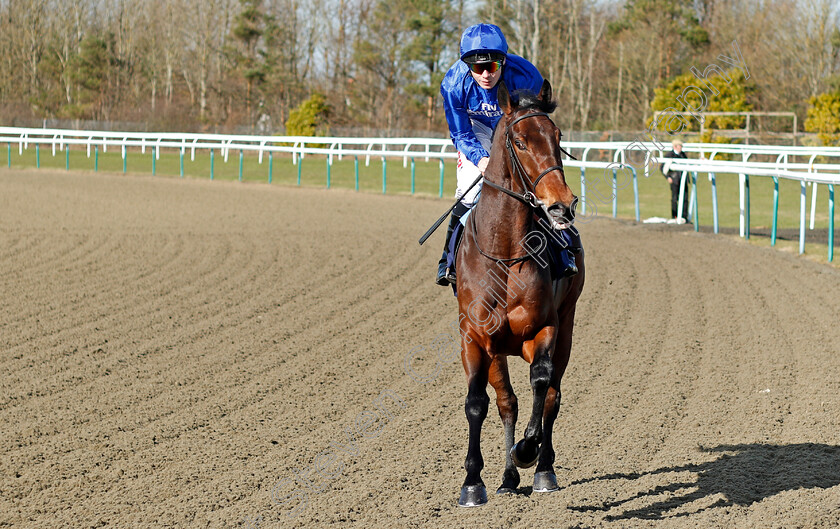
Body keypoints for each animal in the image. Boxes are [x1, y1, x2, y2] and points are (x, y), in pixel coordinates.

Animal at [452, 77, 584, 504]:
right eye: (521, 142)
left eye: (557, 137)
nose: (561, 205)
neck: (506, 251)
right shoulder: (474, 336)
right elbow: (479, 403)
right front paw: (473, 482)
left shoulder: (544, 327)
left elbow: (541, 384)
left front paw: (528, 450)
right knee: (506, 402)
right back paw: (508, 478)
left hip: (568, 323)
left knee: (552, 396)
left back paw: (542, 470)